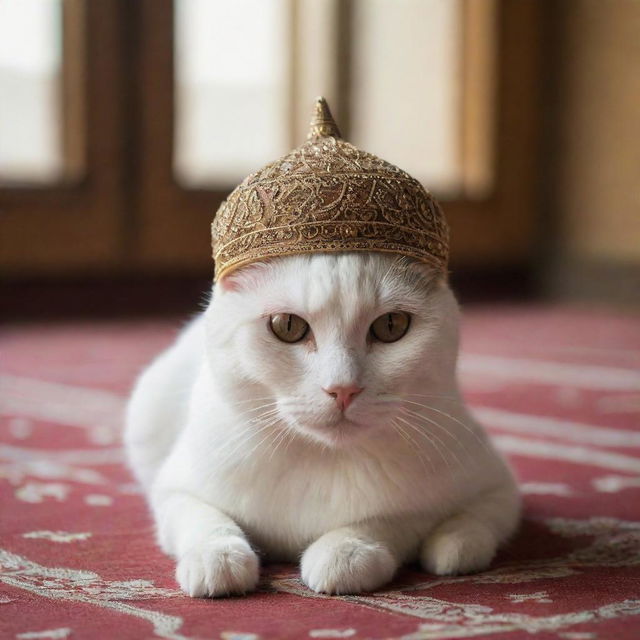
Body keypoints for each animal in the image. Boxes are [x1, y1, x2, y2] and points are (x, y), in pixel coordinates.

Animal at [125, 252, 520, 596]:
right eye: (287, 326)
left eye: (392, 325)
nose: (343, 388)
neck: (326, 459)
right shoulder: (174, 488)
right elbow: (203, 518)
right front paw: (217, 558)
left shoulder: (484, 487)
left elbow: (394, 518)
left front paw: (345, 552)